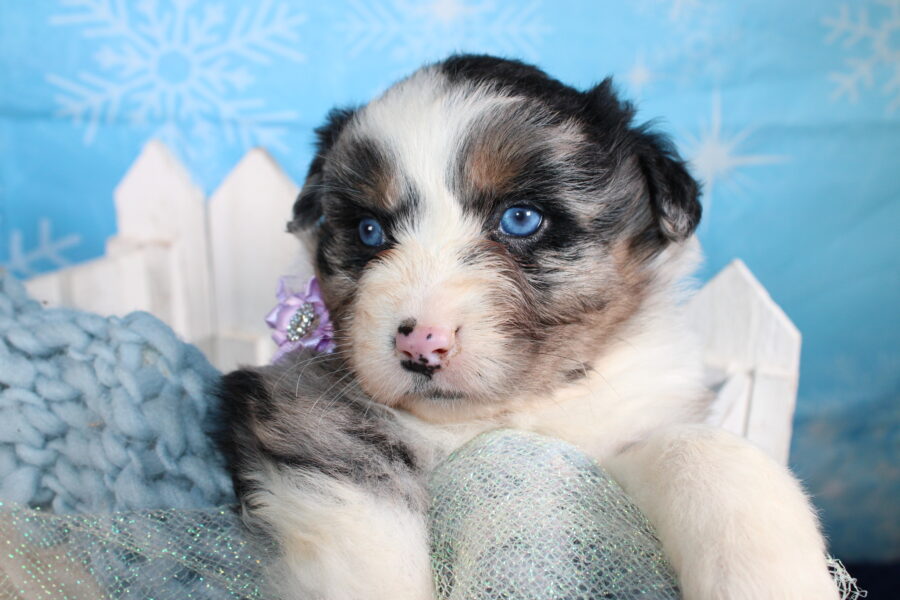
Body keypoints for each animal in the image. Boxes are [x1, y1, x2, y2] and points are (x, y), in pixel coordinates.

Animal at [218, 55, 838, 600]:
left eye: (520, 218)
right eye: (370, 230)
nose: (421, 343)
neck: (504, 414)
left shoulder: (617, 437)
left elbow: (703, 451)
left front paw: (768, 578)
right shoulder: (311, 412)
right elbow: (369, 553)